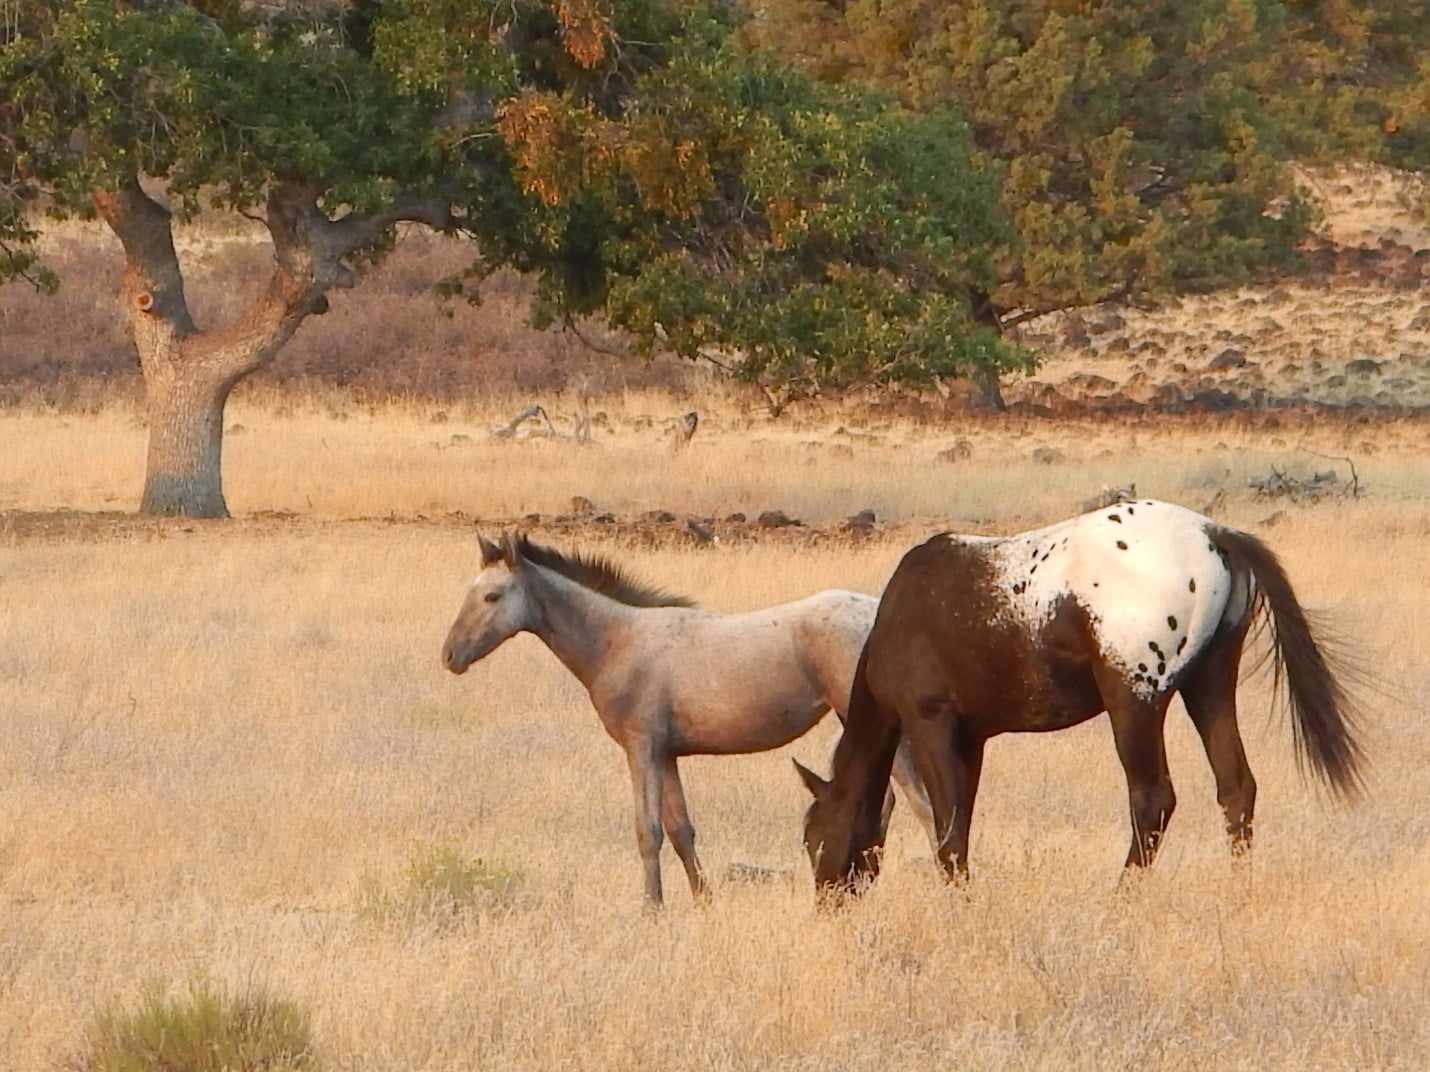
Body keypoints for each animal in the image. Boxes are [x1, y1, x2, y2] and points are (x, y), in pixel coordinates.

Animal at [440, 534, 943, 903]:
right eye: (469, 592)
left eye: (492, 596)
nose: (450, 656)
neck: (618, 641)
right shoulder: (667, 755)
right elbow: (681, 830)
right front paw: (704, 901)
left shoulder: (641, 749)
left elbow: (648, 832)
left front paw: (653, 909)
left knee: (919, 801)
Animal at [795, 503, 1361, 897]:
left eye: (814, 836)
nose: (827, 900)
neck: (898, 617)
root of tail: (1211, 533)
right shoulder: (971, 741)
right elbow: (961, 823)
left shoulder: (928, 722)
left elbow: (949, 830)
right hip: (1210, 685)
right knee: (1236, 789)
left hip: (1134, 701)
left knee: (1153, 801)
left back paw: (1121, 897)